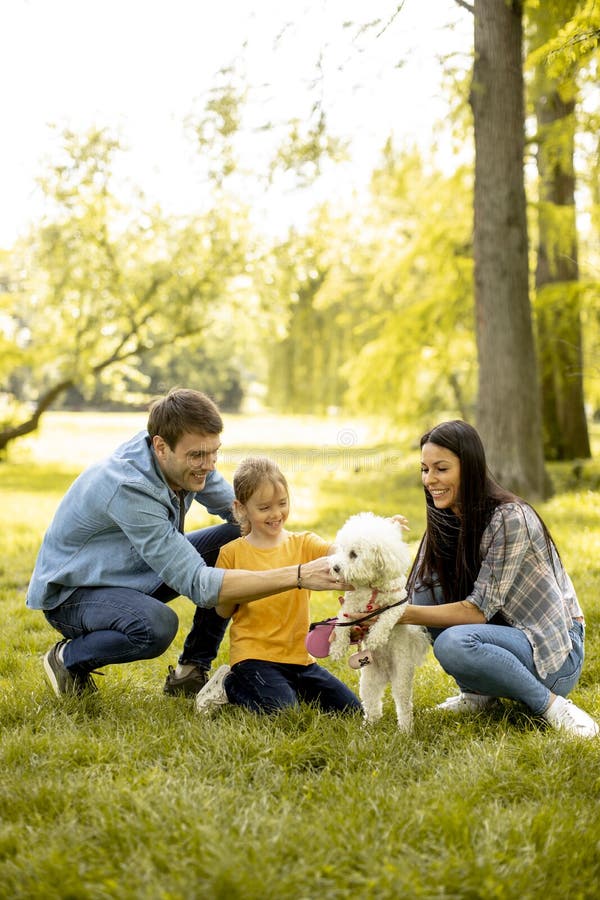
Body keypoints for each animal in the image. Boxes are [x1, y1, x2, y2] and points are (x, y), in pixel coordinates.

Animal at [326, 512, 428, 732]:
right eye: (342, 549)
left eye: (353, 554)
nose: (335, 567)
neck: (371, 586)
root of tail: (386, 674)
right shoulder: (349, 606)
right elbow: (341, 624)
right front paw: (337, 647)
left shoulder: (399, 603)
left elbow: (386, 618)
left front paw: (375, 638)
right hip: (369, 682)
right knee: (372, 707)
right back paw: (368, 727)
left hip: (401, 678)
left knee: (403, 706)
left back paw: (405, 730)